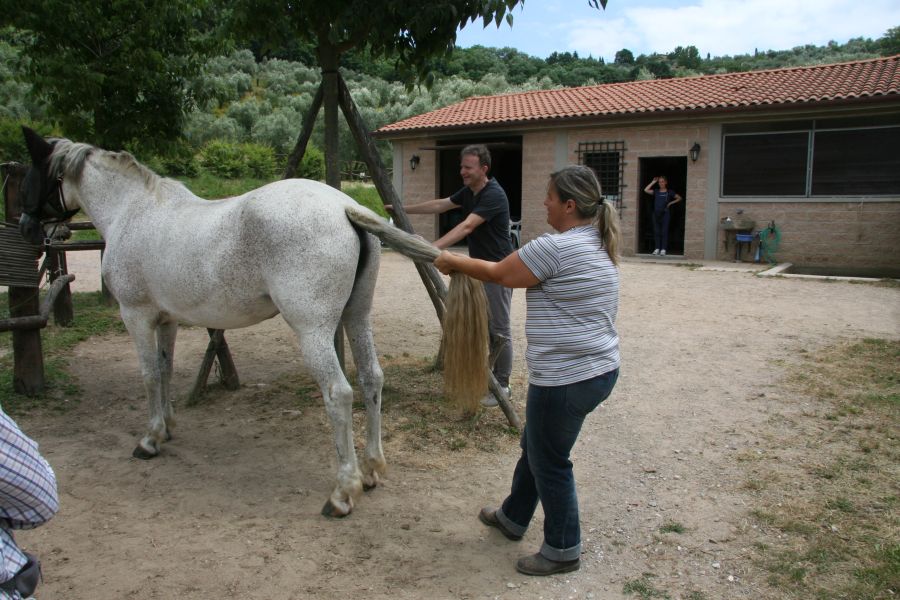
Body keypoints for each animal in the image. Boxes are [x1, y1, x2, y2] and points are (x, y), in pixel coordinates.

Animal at [19, 127, 472, 520]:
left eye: (28, 173)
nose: (26, 228)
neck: (133, 213)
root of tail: (344, 206)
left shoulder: (136, 315)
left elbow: (148, 375)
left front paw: (148, 440)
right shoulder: (167, 321)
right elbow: (165, 371)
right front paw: (167, 428)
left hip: (313, 332)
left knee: (339, 393)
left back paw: (343, 492)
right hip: (356, 318)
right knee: (372, 379)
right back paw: (373, 468)